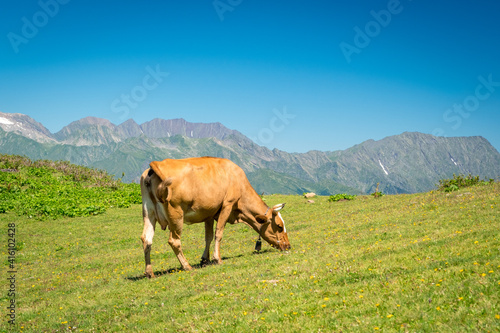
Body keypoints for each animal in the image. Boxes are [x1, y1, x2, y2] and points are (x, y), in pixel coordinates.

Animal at [139, 157, 292, 276]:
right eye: (279, 226)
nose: (288, 246)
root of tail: (155, 165)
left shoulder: (209, 213)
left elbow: (208, 237)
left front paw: (204, 259)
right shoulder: (227, 205)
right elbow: (219, 233)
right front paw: (217, 259)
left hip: (148, 212)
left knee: (146, 239)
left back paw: (149, 272)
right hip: (176, 214)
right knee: (174, 241)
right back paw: (187, 266)